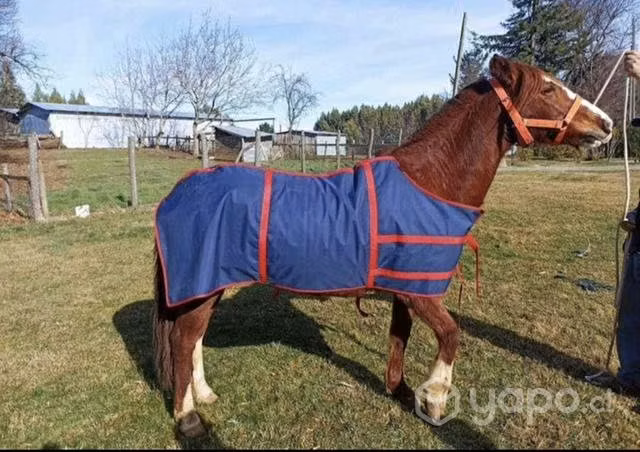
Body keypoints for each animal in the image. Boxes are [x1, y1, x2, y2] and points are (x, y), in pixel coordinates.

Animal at [152, 54, 613, 437]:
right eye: (548, 89)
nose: (606, 124)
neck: (430, 182)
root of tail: (180, 190)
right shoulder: (421, 293)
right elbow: (451, 335)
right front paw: (436, 398)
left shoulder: (403, 291)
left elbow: (399, 340)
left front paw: (402, 391)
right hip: (201, 287)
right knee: (183, 341)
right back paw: (187, 417)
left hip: (208, 286)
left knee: (193, 338)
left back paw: (204, 396)